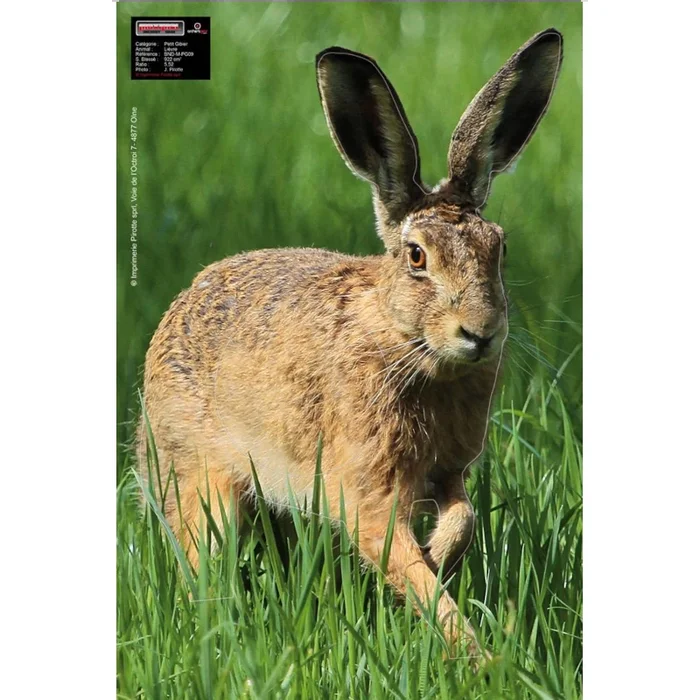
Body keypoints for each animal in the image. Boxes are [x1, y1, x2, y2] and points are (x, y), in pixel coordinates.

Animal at [138, 28, 563, 665]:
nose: (481, 332)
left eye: (501, 248)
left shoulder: (448, 472)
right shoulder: (368, 492)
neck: (405, 343)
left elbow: (462, 520)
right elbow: (399, 557)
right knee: (201, 555)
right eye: (417, 256)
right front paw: (480, 659)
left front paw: (438, 556)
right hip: (202, 480)